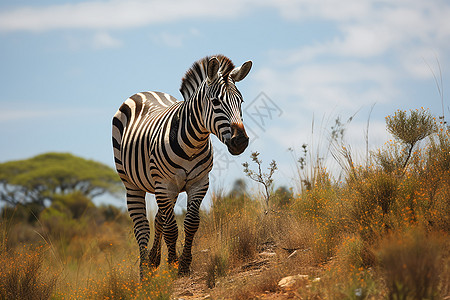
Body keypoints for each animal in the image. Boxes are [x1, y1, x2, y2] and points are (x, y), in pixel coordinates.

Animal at [110, 54, 251, 276]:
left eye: (241, 101)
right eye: (216, 102)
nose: (241, 142)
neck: (193, 143)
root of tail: (145, 92)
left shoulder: (199, 183)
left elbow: (191, 223)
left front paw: (184, 265)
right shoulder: (165, 185)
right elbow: (171, 228)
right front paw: (173, 264)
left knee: (158, 218)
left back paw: (153, 261)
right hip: (133, 184)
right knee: (141, 226)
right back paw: (144, 273)